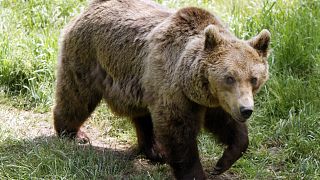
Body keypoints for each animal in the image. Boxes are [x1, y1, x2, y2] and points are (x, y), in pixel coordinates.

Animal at [52, 0, 270, 179]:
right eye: (229, 77)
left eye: (254, 79)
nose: (246, 110)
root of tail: (91, 6)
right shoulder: (174, 89)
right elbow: (177, 133)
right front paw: (195, 173)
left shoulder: (215, 100)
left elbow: (228, 126)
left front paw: (223, 161)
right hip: (89, 56)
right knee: (76, 95)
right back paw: (73, 133)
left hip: (139, 83)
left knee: (142, 115)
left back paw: (154, 150)